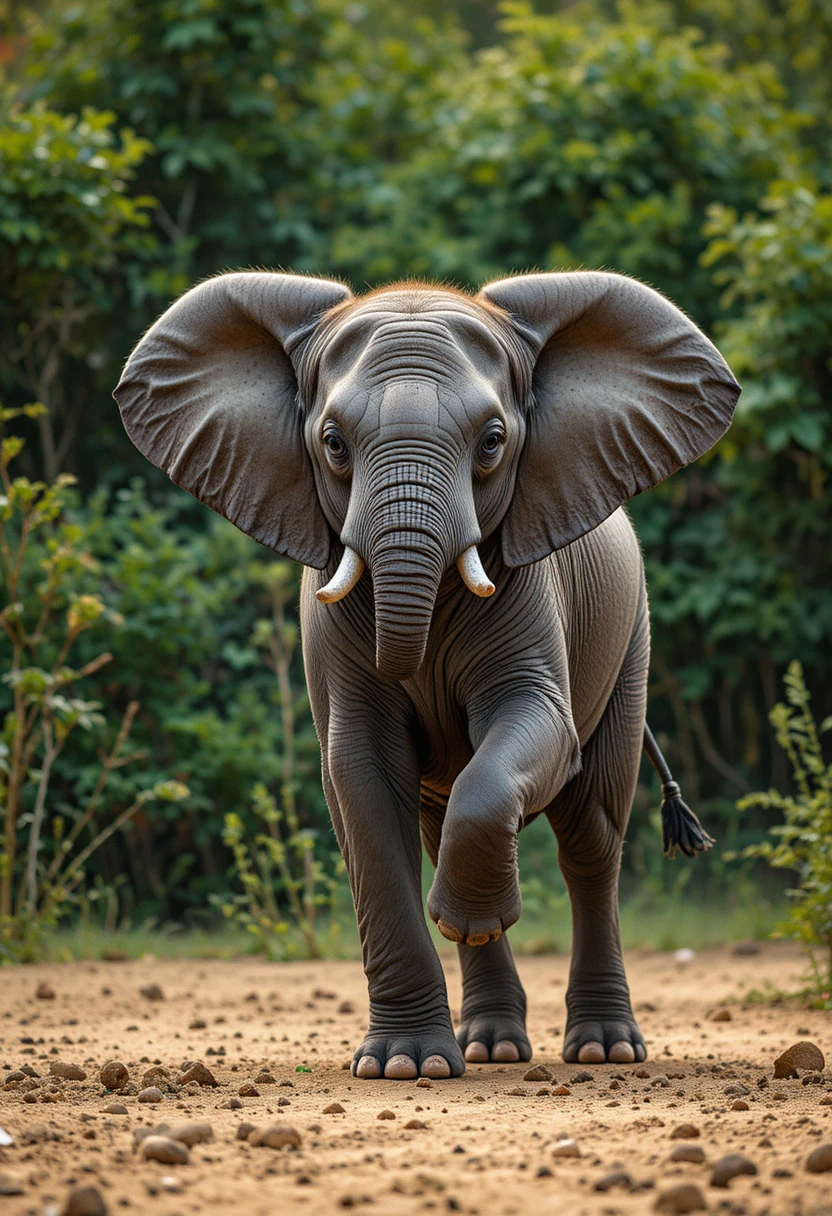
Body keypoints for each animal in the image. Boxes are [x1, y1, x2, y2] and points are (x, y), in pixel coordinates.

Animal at [115, 269, 739, 1079]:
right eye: (333, 444)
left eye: (493, 442)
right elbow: (363, 775)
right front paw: (406, 1065)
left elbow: (537, 724)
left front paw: (466, 923)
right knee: (440, 824)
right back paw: (489, 1046)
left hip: (631, 634)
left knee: (590, 837)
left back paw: (602, 1048)